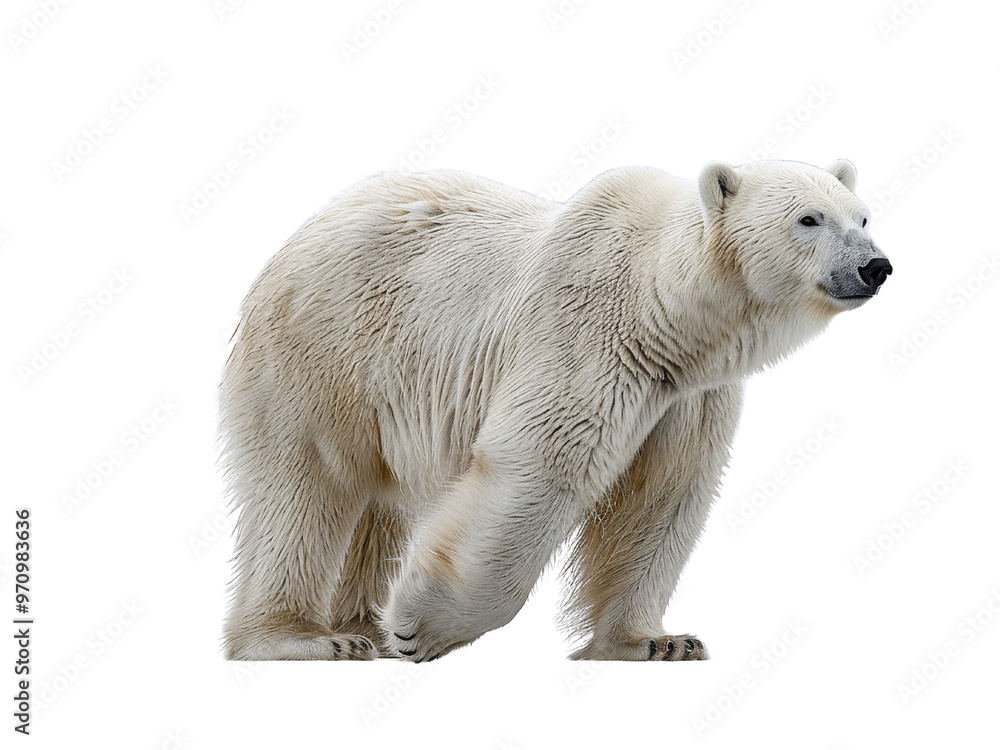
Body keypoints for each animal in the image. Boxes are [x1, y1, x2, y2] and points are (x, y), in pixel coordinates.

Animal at [220, 158, 891, 662]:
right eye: (809, 219)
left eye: (863, 215)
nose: (874, 266)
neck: (663, 313)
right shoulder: (586, 337)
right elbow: (541, 466)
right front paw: (420, 627)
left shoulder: (689, 395)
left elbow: (664, 493)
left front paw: (656, 642)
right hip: (328, 349)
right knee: (307, 484)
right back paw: (305, 638)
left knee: (372, 502)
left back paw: (358, 624)